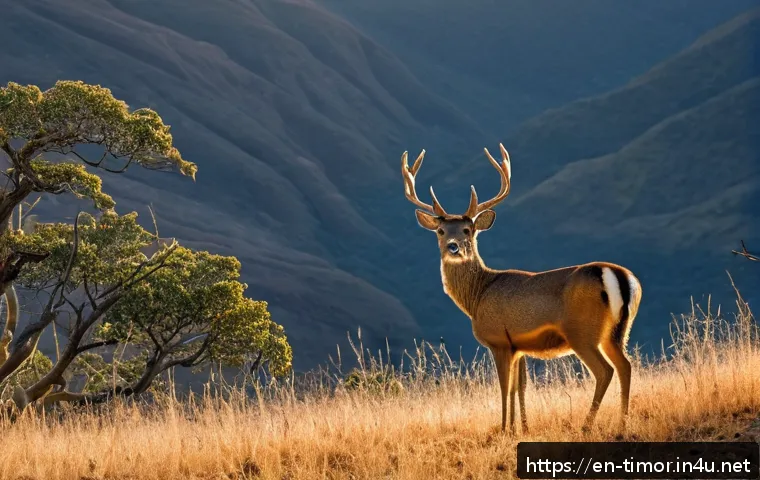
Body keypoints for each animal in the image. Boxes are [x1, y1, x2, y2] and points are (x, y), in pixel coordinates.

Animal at [401, 144, 642, 434]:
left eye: (468, 230)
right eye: (440, 230)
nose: (454, 247)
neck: (477, 296)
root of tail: (618, 276)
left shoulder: (498, 340)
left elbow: (505, 388)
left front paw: (504, 428)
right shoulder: (519, 345)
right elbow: (521, 387)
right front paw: (522, 428)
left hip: (583, 332)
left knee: (605, 371)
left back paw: (587, 425)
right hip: (617, 332)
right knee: (625, 366)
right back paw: (622, 424)